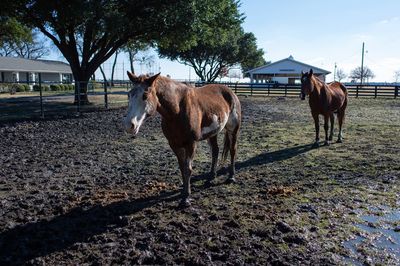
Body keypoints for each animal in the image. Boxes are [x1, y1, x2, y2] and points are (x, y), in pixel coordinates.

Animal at [122, 71, 241, 207]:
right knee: (215, 151)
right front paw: (183, 192)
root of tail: (230, 92)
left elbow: (188, 169)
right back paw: (211, 177)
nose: (129, 125)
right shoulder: (174, 144)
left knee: (232, 150)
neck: (177, 109)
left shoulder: (191, 143)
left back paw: (231, 177)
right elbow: (182, 168)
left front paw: (186, 198)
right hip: (213, 133)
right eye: (129, 95)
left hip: (233, 130)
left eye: (145, 96)